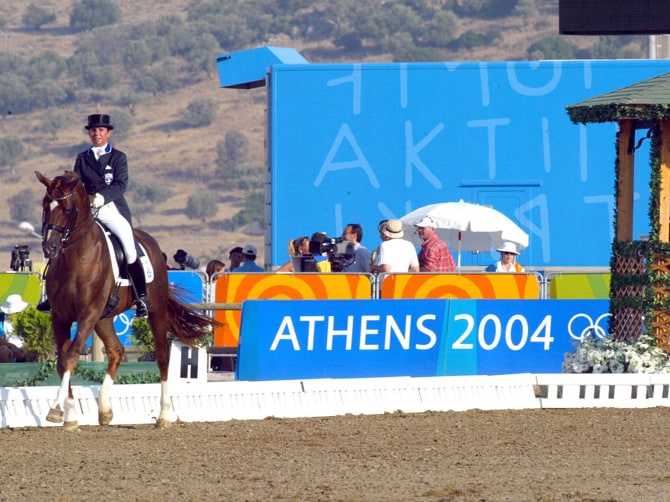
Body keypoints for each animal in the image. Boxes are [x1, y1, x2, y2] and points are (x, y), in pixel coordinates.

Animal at [36, 171, 218, 430]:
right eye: (45, 205)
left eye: (68, 209)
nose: (49, 248)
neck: (75, 258)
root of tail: (149, 242)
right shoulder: (60, 317)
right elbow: (62, 362)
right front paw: (69, 417)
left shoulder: (87, 314)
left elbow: (71, 357)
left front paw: (56, 409)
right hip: (104, 318)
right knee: (116, 351)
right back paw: (105, 410)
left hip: (155, 311)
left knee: (162, 356)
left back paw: (163, 416)